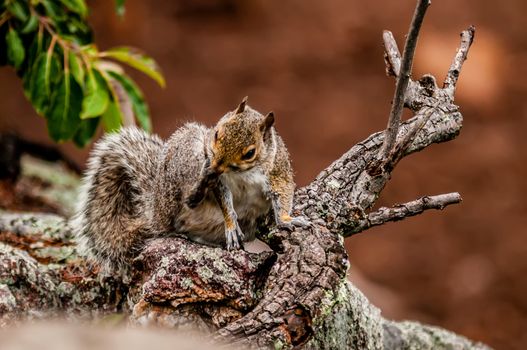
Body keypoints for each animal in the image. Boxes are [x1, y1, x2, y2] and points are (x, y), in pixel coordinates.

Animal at [72, 97, 308, 272]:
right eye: (216, 133)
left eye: (250, 153)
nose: (213, 166)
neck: (243, 174)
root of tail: (154, 210)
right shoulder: (220, 182)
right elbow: (225, 202)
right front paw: (231, 226)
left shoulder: (277, 171)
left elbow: (282, 192)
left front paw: (286, 219)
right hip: (178, 171)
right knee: (173, 219)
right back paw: (195, 192)